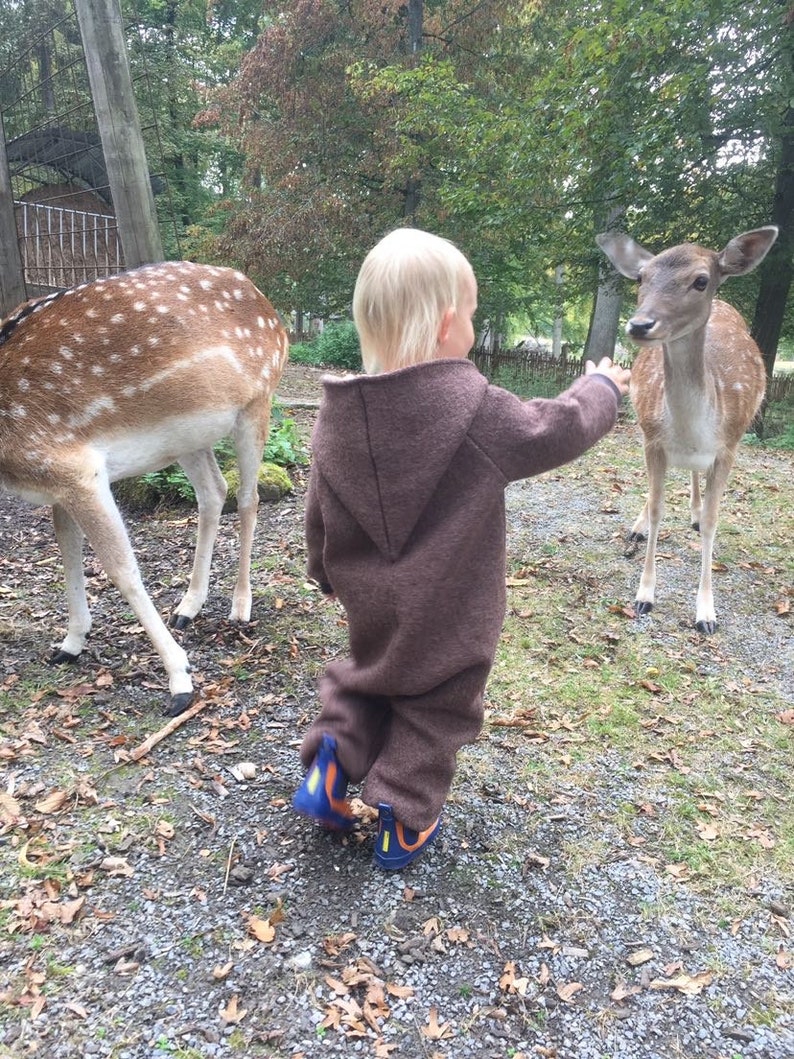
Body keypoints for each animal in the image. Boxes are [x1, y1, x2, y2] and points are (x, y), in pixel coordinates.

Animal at [0, 260, 292, 715]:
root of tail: (268, 305)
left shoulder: (75, 469)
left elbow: (122, 569)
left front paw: (180, 680)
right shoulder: (57, 481)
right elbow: (68, 552)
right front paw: (70, 643)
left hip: (257, 402)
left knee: (249, 498)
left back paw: (239, 606)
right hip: (187, 435)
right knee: (214, 491)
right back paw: (188, 606)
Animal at [601, 224, 779, 631]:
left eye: (701, 280)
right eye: (641, 277)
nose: (640, 324)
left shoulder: (728, 448)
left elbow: (714, 521)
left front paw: (706, 613)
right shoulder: (652, 440)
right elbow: (657, 509)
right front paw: (645, 596)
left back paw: (694, 515)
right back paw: (639, 525)